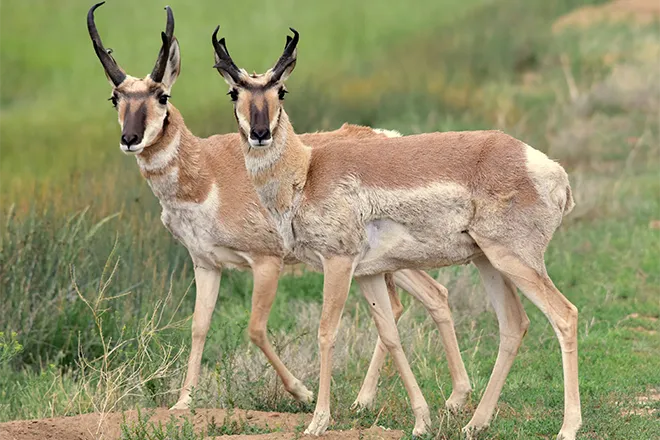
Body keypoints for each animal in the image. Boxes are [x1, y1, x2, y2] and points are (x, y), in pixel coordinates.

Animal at [85, 2, 472, 416]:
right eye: (115, 98)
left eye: (161, 96)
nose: (130, 138)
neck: (206, 172)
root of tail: (386, 138)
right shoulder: (206, 264)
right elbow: (198, 326)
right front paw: (183, 403)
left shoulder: (265, 260)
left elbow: (255, 328)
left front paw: (302, 393)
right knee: (430, 296)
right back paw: (421, 398)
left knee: (410, 302)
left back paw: (381, 400)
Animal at [214, 27, 580, 440]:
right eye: (234, 92)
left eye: (281, 90)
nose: (260, 133)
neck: (307, 171)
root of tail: (548, 169)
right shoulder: (369, 274)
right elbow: (390, 335)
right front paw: (422, 420)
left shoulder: (338, 264)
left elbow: (327, 331)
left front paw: (318, 420)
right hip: (489, 263)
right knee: (514, 325)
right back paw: (474, 422)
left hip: (513, 261)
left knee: (564, 315)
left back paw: (567, 427)